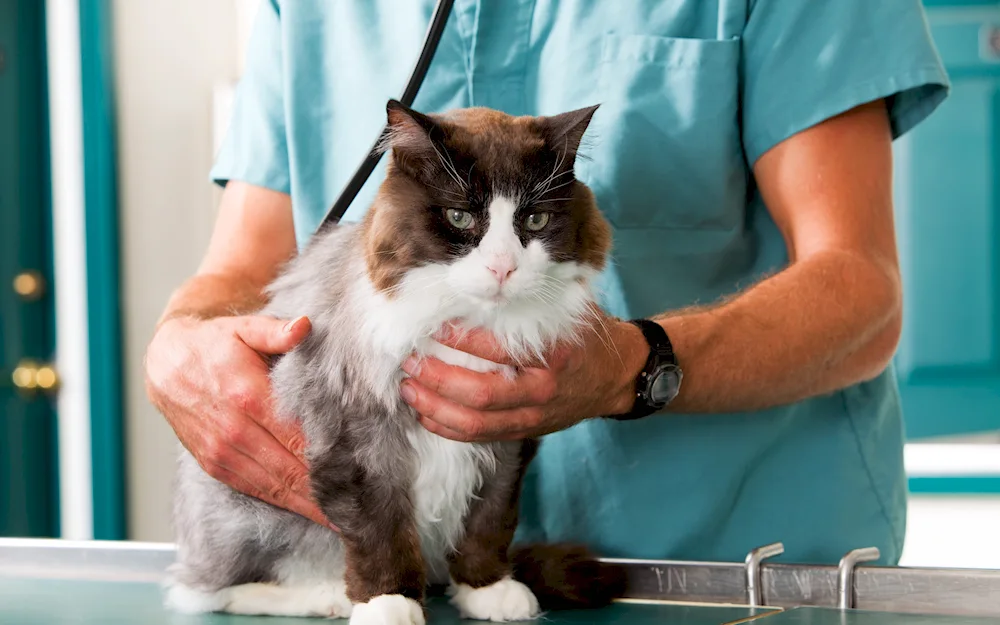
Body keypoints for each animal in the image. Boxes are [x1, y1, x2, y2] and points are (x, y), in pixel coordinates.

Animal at [165, 101, 624, 624]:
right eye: (459, 217)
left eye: (535, 222)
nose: (503, 267)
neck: (468, 322)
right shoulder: (359, 437)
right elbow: (380, 530)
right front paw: (388, 603)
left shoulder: (506, 438)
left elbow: (488, 521)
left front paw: (486, 588)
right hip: (247, 515)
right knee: (211, 590)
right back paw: (325, 596)